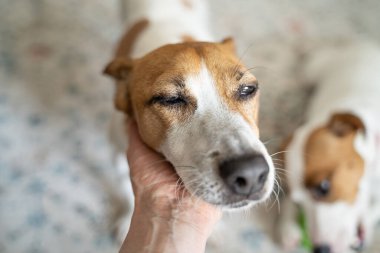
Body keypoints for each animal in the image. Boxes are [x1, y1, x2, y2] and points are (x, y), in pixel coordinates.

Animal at [104, 0, 274, 243]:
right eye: (170, 99)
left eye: (247, 89)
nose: (251, 173)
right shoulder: (118, 155)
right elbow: (127, 191)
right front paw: (127, 218)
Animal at [280, 42, 380, 253]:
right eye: (299, 203)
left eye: (323, 187)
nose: (320, 249)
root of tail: (362, 44)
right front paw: (287, 227)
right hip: (312, 68)